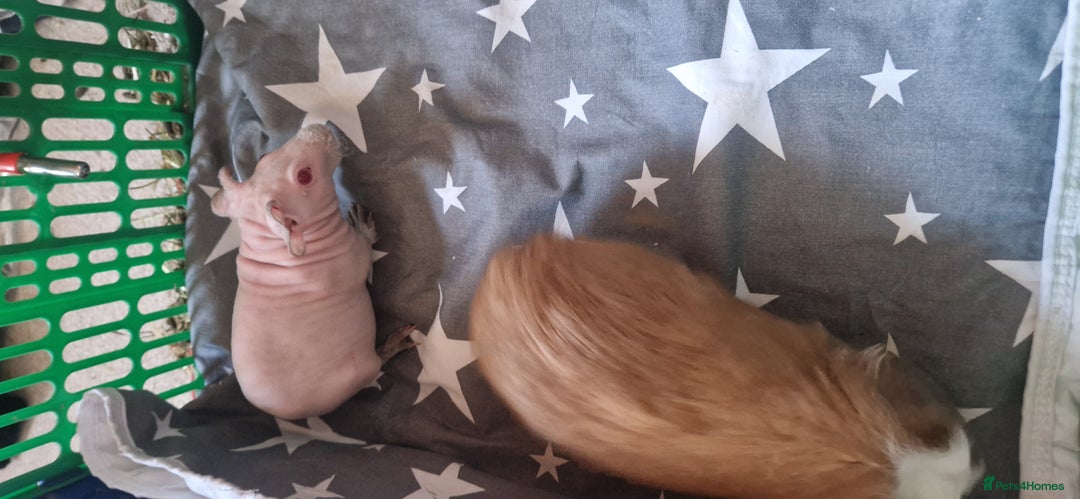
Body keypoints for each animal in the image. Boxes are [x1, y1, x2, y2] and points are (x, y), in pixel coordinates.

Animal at [211, 124, 415, 420]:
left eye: (263, 158)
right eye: (304, 176)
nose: (318, 126)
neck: (271, 241)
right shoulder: (350, 258)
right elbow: (367, 252)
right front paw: (365, 229)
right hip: (360, 370)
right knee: (376, 364)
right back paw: (392, 345)